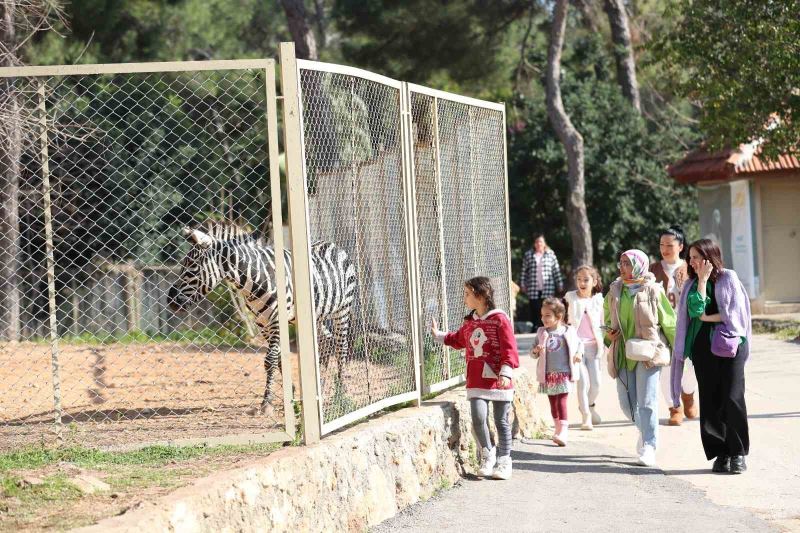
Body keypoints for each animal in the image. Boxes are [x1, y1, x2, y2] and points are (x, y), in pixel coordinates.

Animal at [166, 220, 356, 412]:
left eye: (192, 267)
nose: (170, 301)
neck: (255, 280)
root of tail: (332, 244)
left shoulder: (276, 320)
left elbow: (270, 359)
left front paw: (267, 403)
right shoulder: (262, 323)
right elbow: (278, 358)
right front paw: (290, 393)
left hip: (343, 309)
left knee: (341, 349)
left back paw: (341, 395)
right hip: (316, 315)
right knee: (326, 345)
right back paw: (321, 390)